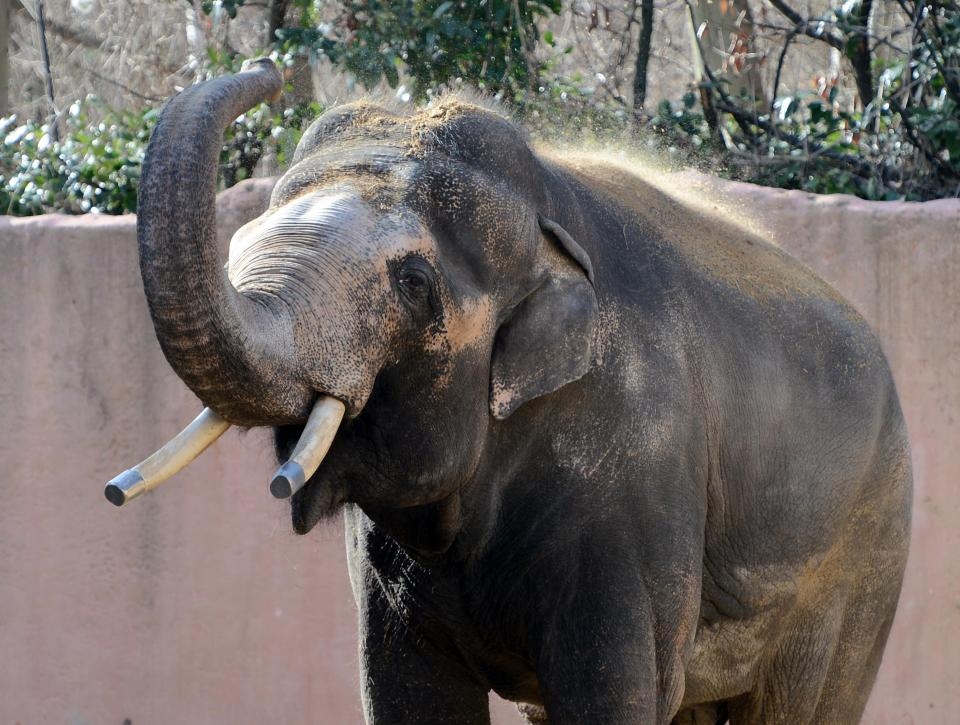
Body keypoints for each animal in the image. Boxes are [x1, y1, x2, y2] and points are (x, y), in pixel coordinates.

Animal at [132, 59, 912, 724]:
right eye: (240, 247)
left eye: (413, 284)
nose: (264, 67)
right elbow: (404, 693)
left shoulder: (635, 476)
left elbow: (613, 692)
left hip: (861, 558)